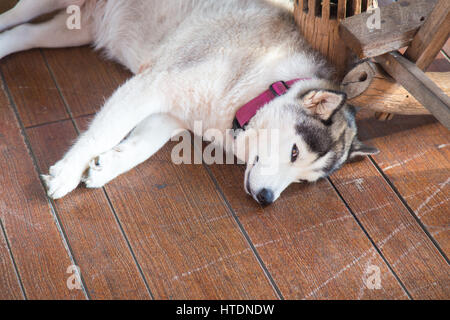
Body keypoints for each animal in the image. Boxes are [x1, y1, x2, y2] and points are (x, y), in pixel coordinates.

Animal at [1, 0, 378, 205]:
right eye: (295, 152)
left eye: (303, 181)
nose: (267, 199)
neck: (258, 84)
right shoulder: (154, 83)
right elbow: (101, 134)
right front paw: (67, 173)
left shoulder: (172, 114)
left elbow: (141, 146)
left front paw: (107, 166)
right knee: (13, 17)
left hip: (75, 29)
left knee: (22, 34)